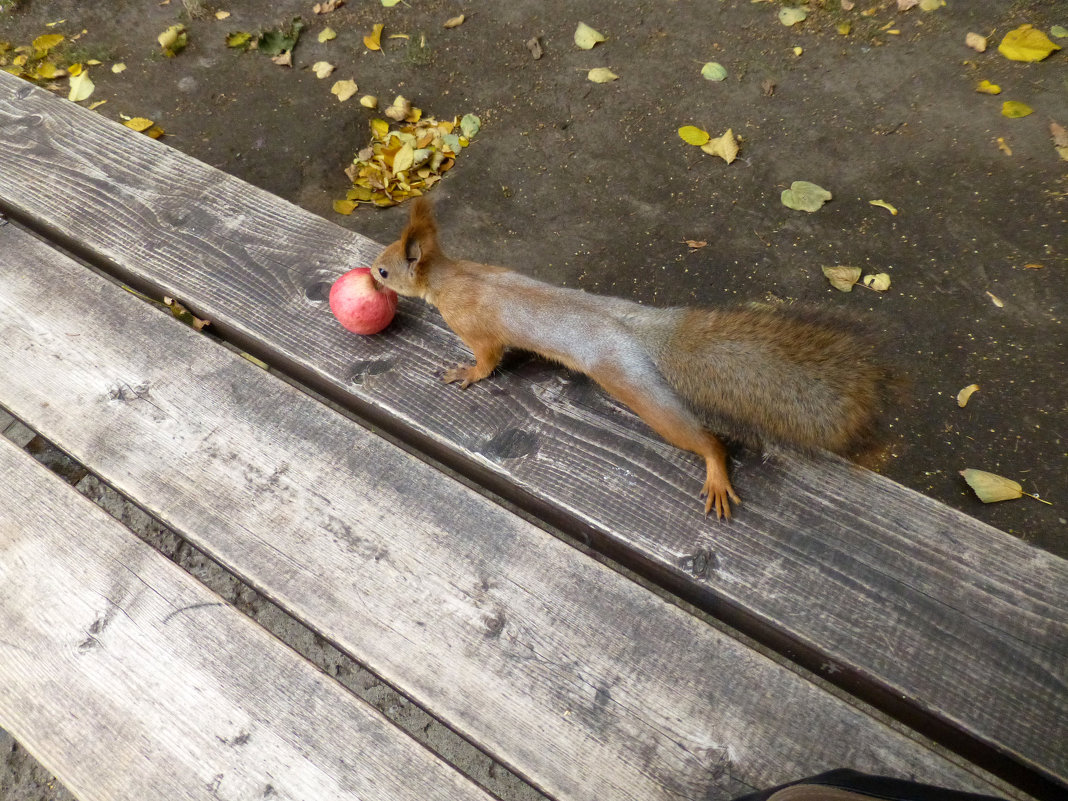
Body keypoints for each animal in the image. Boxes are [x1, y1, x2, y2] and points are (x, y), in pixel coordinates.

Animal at [371, 197, 897, 516]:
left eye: (383, 270)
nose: (368, 276)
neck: (451, 277)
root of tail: (636, 330)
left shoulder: (477, 330)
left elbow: (486, 360)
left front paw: (466, 372)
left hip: (630, 382)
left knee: (703, 439)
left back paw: (714, 466)